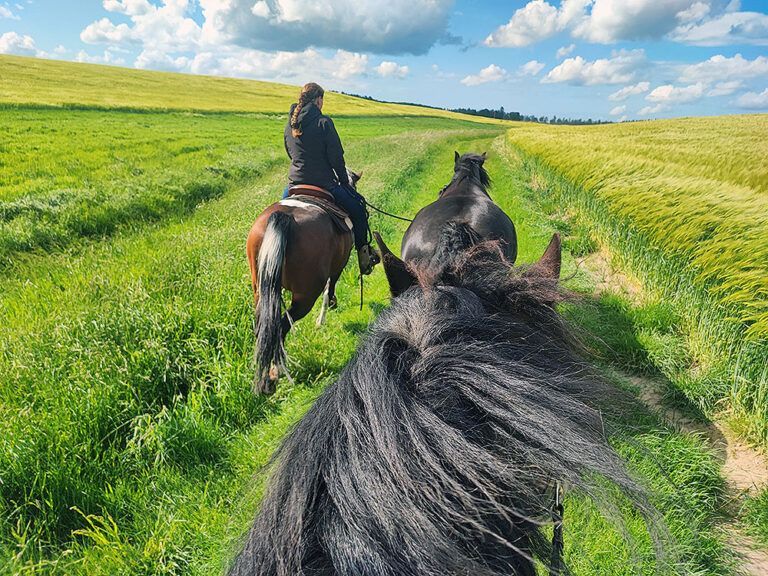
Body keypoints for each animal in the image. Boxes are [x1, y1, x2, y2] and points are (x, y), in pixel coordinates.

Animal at [246, 170, 360, 395]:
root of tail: (282, 217)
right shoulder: (338, 264)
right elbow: (331, 285)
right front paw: (329, 307)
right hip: (306, 295)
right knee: (281, 327)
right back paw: (275, 374)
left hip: (260, 290)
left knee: (263, 328)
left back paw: (263, 380)